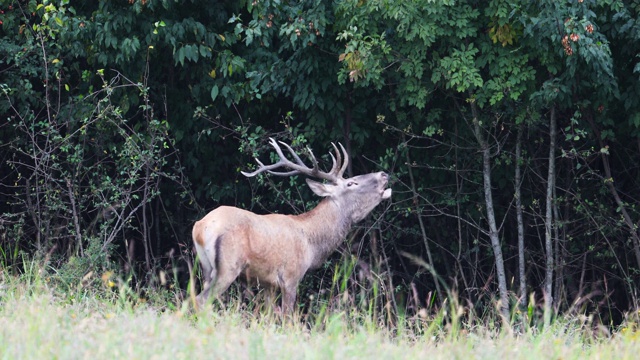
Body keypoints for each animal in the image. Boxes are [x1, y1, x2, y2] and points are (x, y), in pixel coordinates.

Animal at [191, 138, 390, 312]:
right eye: (351, 182)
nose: (383, 174)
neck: (311, 244)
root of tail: (200, 228)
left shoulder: (268, 284)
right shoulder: (290, 277)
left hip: (206, 267)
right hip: (228, 266)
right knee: (201, 300)